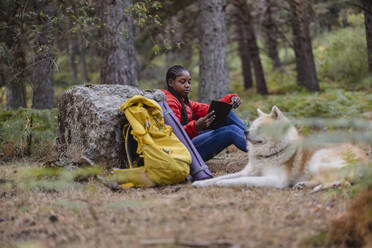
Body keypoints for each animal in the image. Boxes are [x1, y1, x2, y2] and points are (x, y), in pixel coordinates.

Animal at [193, 105, 368, 189]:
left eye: (260, 128)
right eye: (252, 125)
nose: (245, 131)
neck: (265, 155)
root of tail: (366, 159)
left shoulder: (274, 180)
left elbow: (241, 180)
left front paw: (221, 184)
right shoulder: (247, 171)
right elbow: (224, 176)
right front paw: (201, 183)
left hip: (318, 160)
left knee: (343, 181)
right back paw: (303, 185)